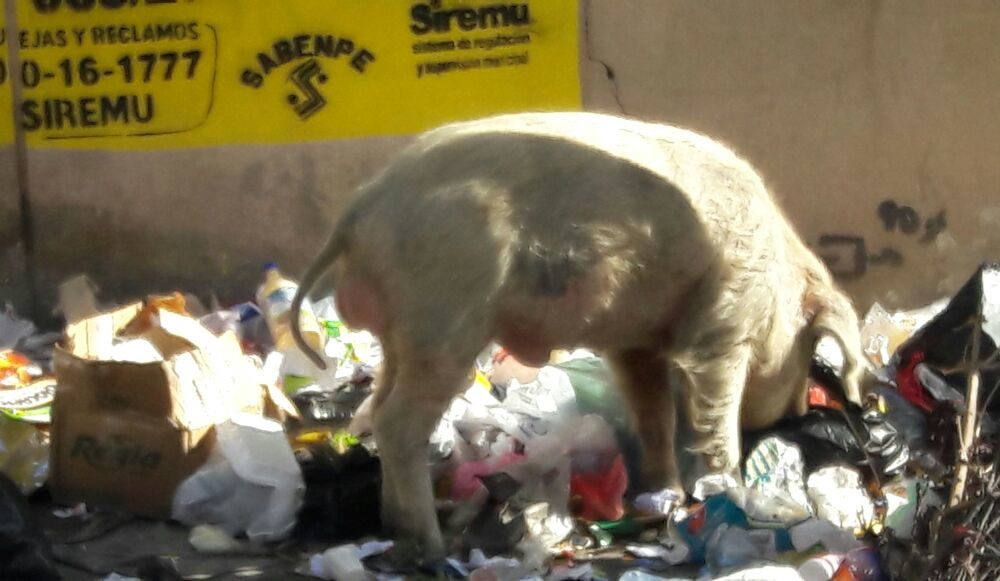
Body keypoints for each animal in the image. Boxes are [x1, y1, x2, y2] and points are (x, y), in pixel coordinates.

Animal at [288, 110, 868, 556]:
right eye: (809, 350)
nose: (800, 411)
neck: (778, 284)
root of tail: (357, 214)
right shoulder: (724, 323)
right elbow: (714, 411)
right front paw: (731, 492)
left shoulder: (635, 340)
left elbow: (654, 417)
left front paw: (667, 495)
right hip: (442, 314)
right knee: (397, 422)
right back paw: (432, 547)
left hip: (401, 334)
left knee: (375, 406)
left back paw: (397, 529)